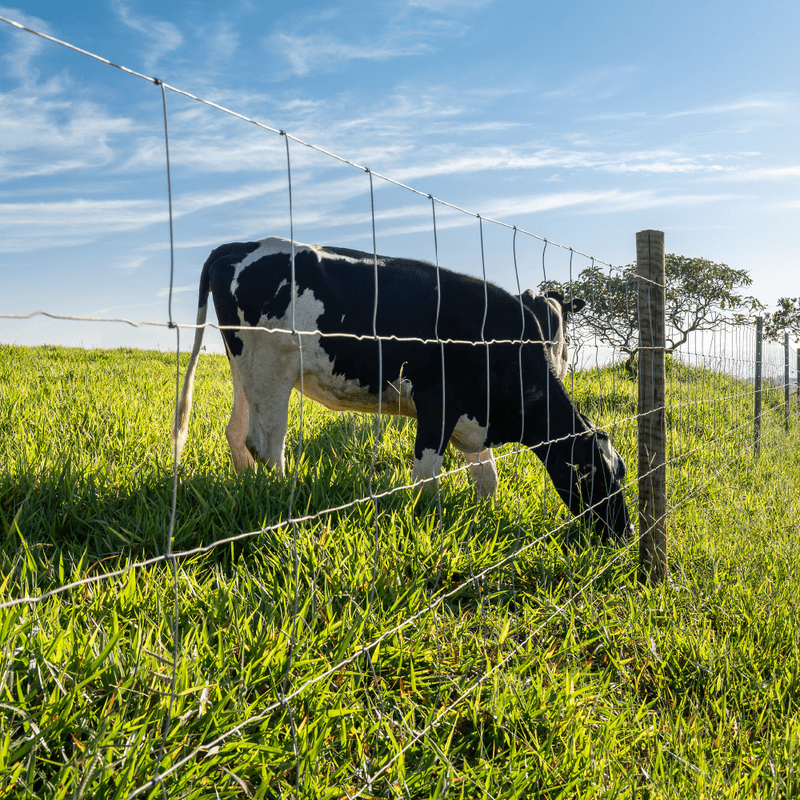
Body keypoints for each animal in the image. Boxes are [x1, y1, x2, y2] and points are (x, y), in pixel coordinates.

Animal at [172, 238, 636, 544]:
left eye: (622, 472)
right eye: (599, 475)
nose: (627, 532)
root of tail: (239, 245)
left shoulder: (474, 419)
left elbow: (488, 480)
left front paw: (485, 517)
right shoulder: (437, 406)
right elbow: (425, 476)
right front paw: (428, 523)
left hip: (245, 368)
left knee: (237, 433)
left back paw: (248, 491)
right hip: (271, 368)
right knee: (267, 445)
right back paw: (282, 506)